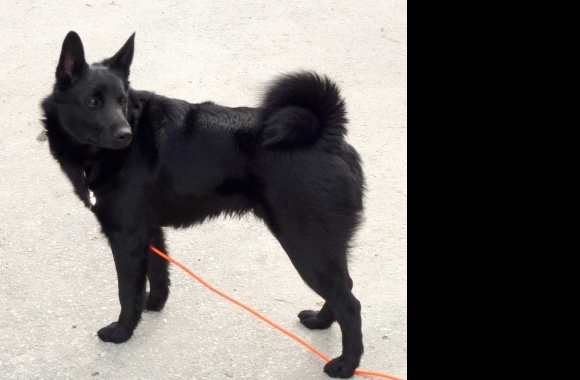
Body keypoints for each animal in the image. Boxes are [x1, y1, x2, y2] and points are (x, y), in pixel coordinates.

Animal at [43, 31, 364, 378]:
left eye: (122, 101)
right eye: (93, 101)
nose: (125, 135)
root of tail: (327, 138)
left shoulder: (126, 237)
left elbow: (127, 292)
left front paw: (123, 331)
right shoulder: (148, 231)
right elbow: (158, 274)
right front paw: (152, 305)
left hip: (305, 244)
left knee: (349, 303)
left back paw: (346, 364)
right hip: (324, 246)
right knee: (344, 287)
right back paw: (321, 322)